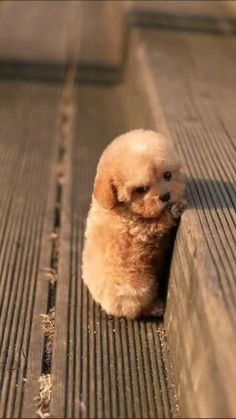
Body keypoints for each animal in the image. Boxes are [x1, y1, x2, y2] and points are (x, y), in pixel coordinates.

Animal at [82, 130, 185, 320]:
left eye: (167, 175)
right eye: (141, 189)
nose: (166, 196)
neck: (122, 209)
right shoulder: (140, 229)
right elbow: (159, 222)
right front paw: (174, 210)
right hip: (138, 285)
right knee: (137, 308)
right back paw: (155, 307)